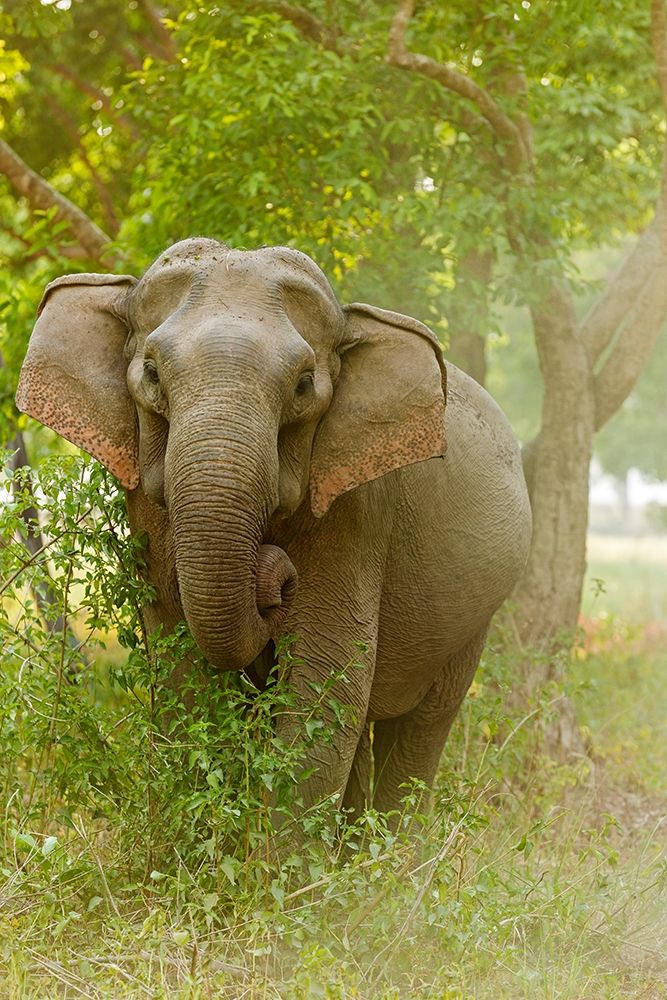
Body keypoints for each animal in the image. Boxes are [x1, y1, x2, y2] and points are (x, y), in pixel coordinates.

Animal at [16, 237, 531, 825]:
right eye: (151, 375)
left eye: (304, 385)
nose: (275, 576)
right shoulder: (147, 508)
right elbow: (180, 669)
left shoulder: (356, 511)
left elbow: (325, 680)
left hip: (473, 619)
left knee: (422, 726)